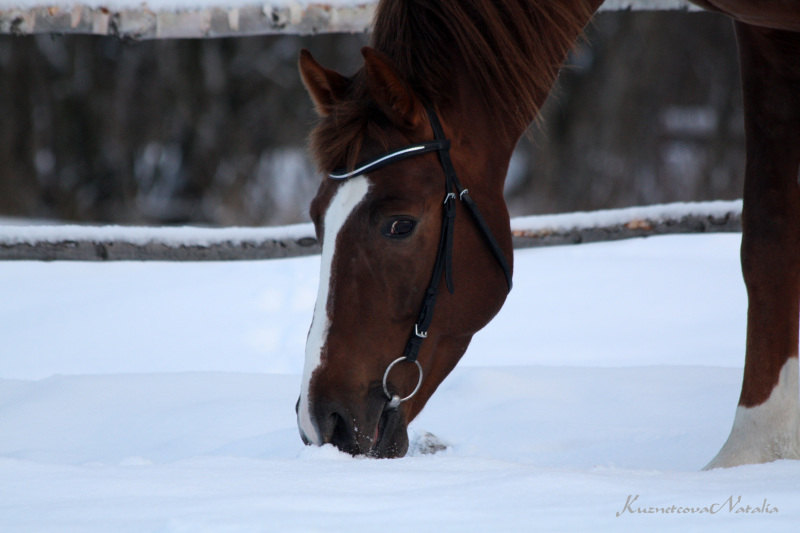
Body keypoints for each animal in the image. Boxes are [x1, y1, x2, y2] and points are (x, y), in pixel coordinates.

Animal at [294, 0, 800, 466]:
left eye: (399, 224)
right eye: (317, 217)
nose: (323, 422)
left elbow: (770, 238)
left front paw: (751, 452)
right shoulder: (764, 32)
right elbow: (769, 239)